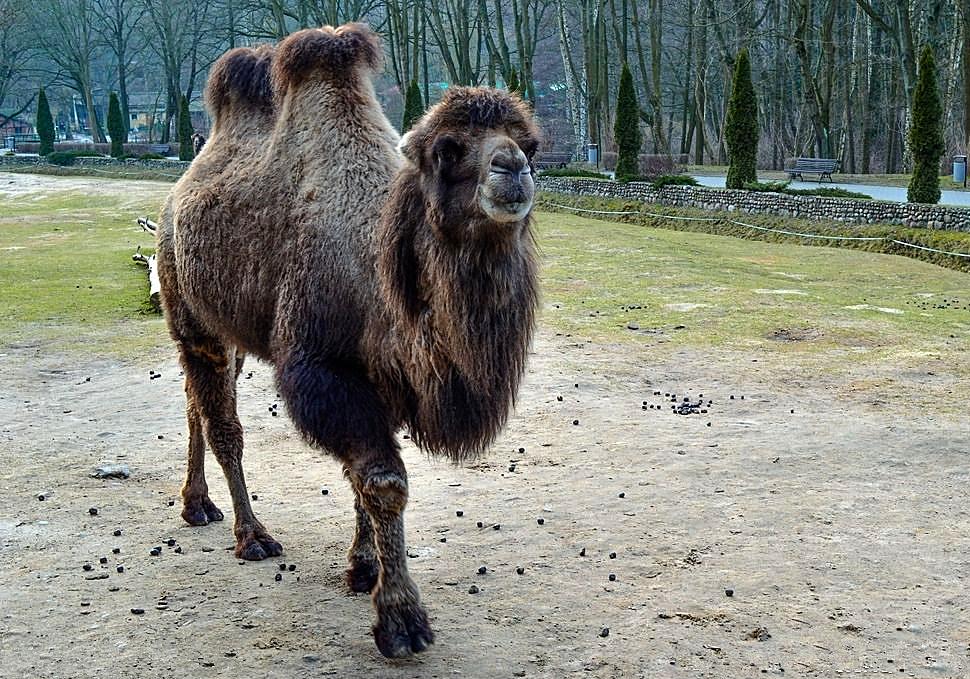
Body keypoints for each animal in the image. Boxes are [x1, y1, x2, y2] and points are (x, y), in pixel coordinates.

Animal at [155, 22, 540, 660]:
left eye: (529, 143)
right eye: (447, 149)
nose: (511, 168)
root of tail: (176, 193)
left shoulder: (381, 375)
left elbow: (361, 480)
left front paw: (364, 568)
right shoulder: (324, 369)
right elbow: (382, 482)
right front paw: (401, 619)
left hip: (228, 330)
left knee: (195, 404)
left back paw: (197, 506)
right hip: (187, 310)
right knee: (222, 423)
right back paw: (251, 535)